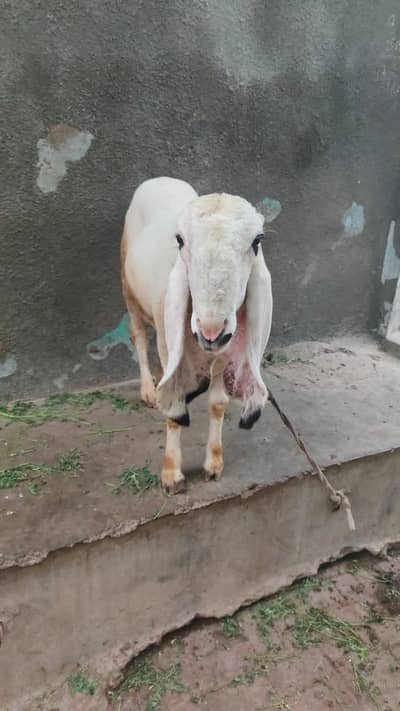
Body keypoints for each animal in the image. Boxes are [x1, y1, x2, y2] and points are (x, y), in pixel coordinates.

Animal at [121, 177, 273, 494]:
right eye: (179, 240)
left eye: (257, 241)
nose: (210, 331)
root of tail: (160, 179)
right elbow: (173, 405)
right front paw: (172, 475)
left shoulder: (222, 352)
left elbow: (217, 403)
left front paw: (213, 465)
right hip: (128, 289)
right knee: (138, 337)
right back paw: (148, 389)